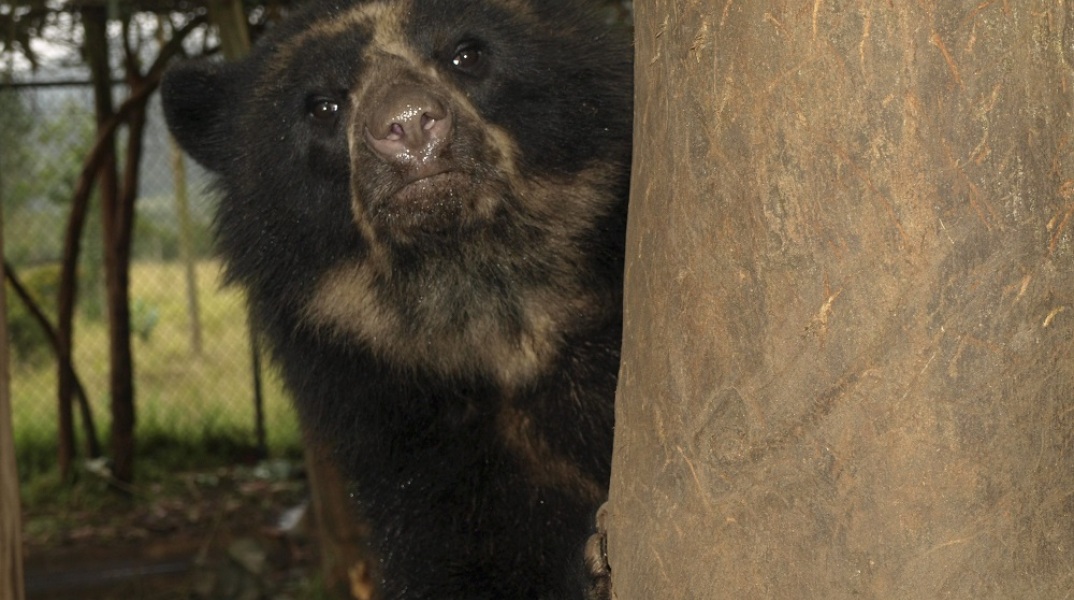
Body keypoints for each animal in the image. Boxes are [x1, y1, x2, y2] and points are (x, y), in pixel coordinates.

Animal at [161, 0, 631, 597]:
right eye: (322, 105)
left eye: (466, 55)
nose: (407, 123)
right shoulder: (412, 448)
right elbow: (455, 562)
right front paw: (594, 566)